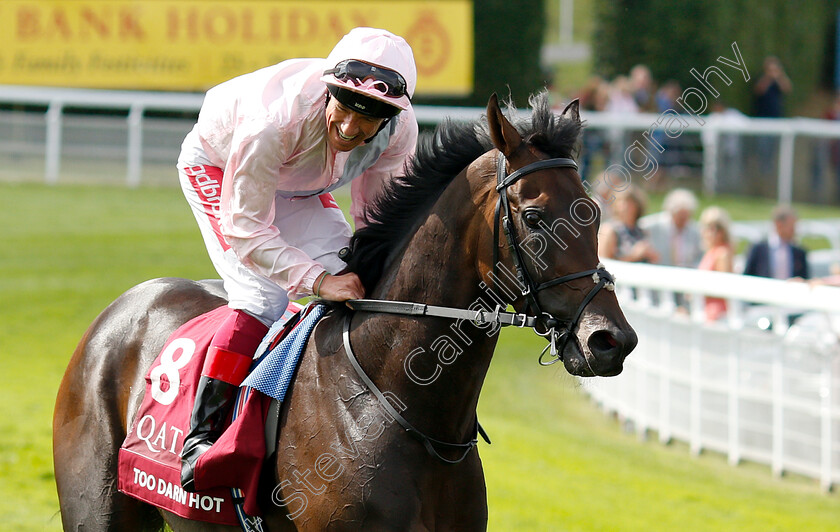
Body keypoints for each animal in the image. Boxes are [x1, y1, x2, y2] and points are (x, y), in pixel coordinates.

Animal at [54, 93, 636, 528]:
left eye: (593, 210)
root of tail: (120, 309)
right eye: (534, 217)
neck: (406, 407)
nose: (611, 339)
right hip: (97, 509)